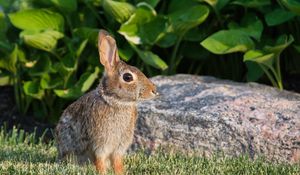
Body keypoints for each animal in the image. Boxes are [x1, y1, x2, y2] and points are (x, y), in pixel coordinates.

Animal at [54, 29, 158, 174]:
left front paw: (121, 172)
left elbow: (117, 161)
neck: (115, 101)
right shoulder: (101, 144)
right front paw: (102, 172)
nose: (154, 90)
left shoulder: (119, 146)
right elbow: (100, 160)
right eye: (127, 77)